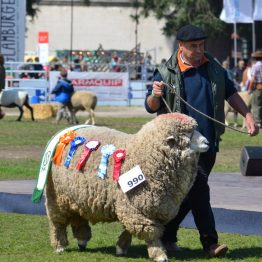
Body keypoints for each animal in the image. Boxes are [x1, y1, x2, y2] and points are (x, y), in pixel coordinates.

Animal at [45, 113, 209, 262]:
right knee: (57, 221)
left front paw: (121, 248)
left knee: (77, 215)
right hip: (56, 194)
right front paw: (159, 255)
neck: (143, 156)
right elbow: (150, 232)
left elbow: (130, 229)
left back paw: (82, 239)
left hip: (75, 193)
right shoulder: (134, 207)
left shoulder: (142, 208)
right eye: (187, 133)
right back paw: (59, 246)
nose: (207, 142)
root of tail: (66, 133)